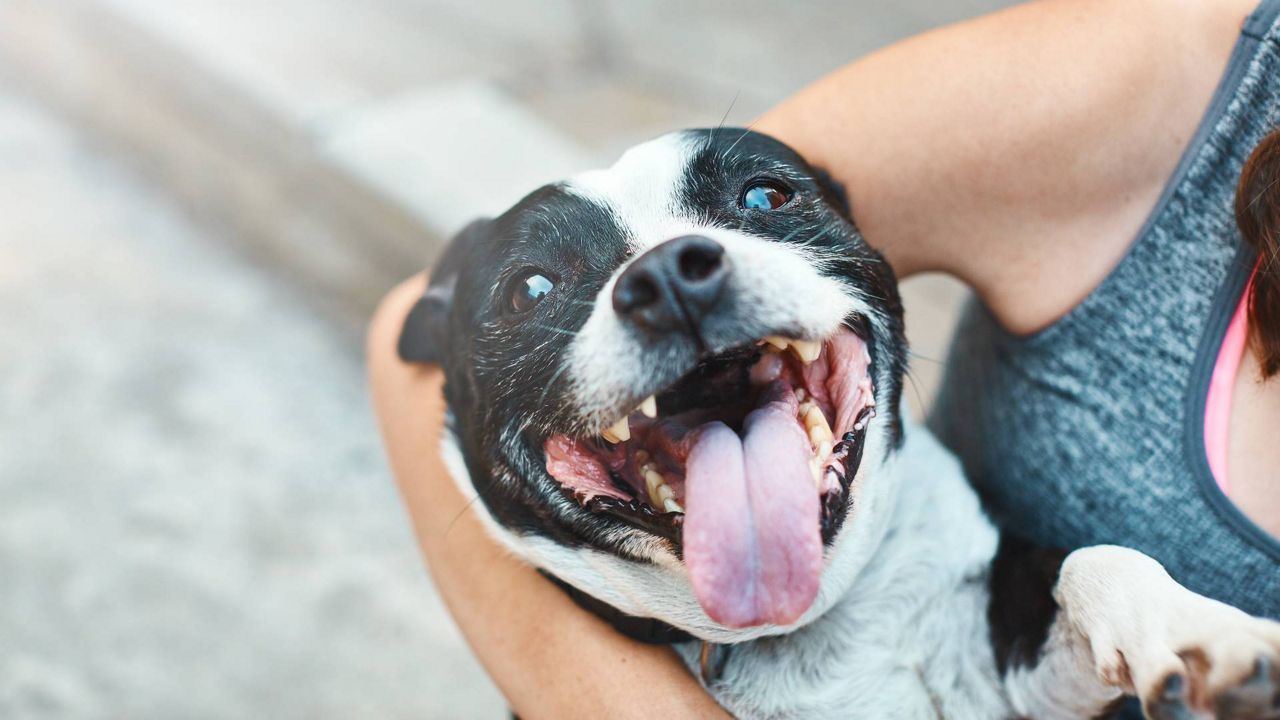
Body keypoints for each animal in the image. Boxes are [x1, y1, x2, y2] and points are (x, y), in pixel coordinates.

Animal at [401, 130, 1280, 717]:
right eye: (531, 288)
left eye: (765, 195)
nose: (668, 276)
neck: (809, 619)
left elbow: (1093, 560)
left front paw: (1198, 632)